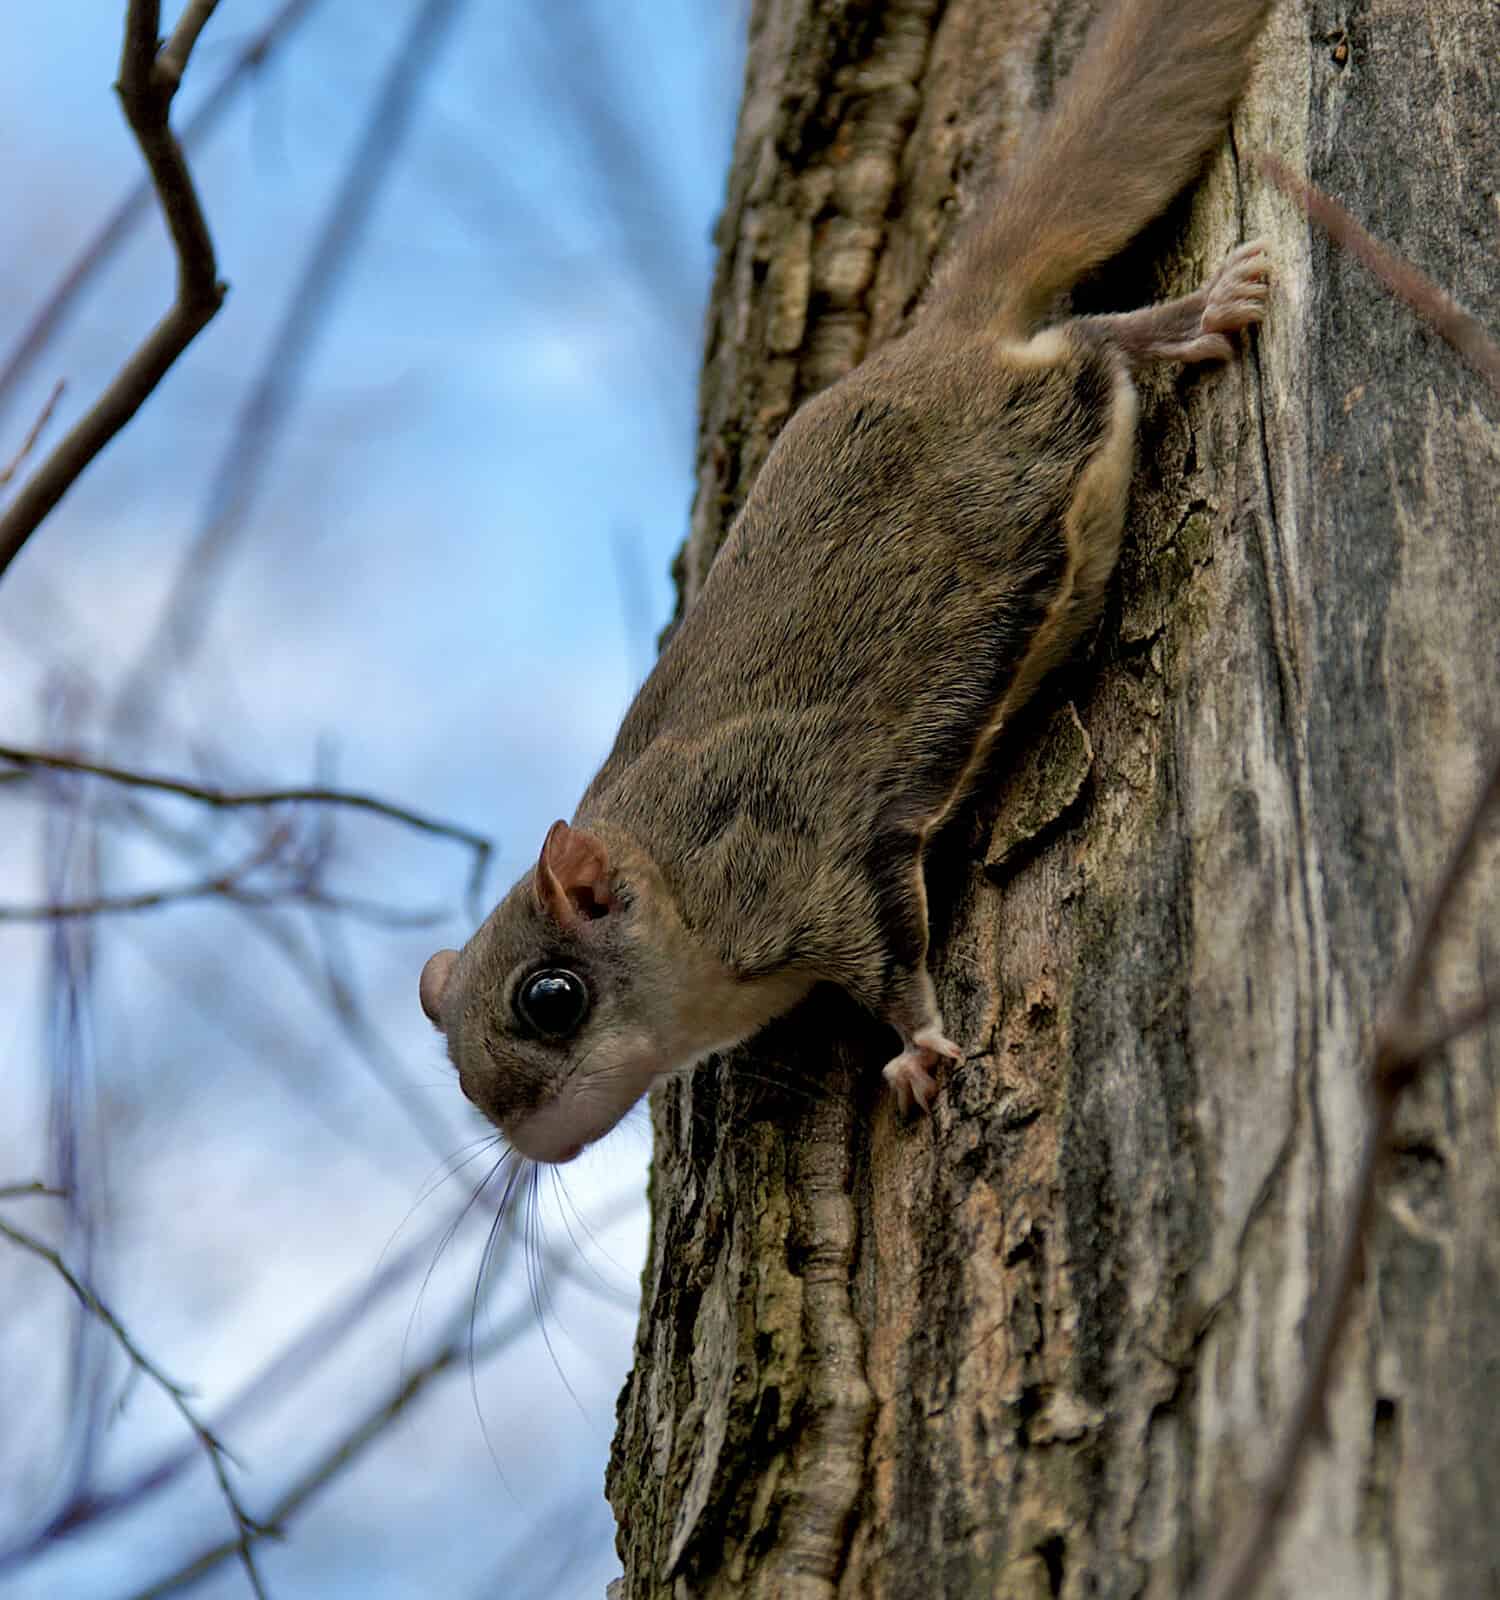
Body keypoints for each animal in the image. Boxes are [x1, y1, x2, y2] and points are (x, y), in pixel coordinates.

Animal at [418, 0, 1272, 1164]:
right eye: (461, 1078)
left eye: (552, 998)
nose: (532, 1142)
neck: (670, 871)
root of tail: (937, 339)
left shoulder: (808, 861)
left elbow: (891, 957)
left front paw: (918, 1051)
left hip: (1032, 444)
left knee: (1089, 346)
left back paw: (1192, 316)